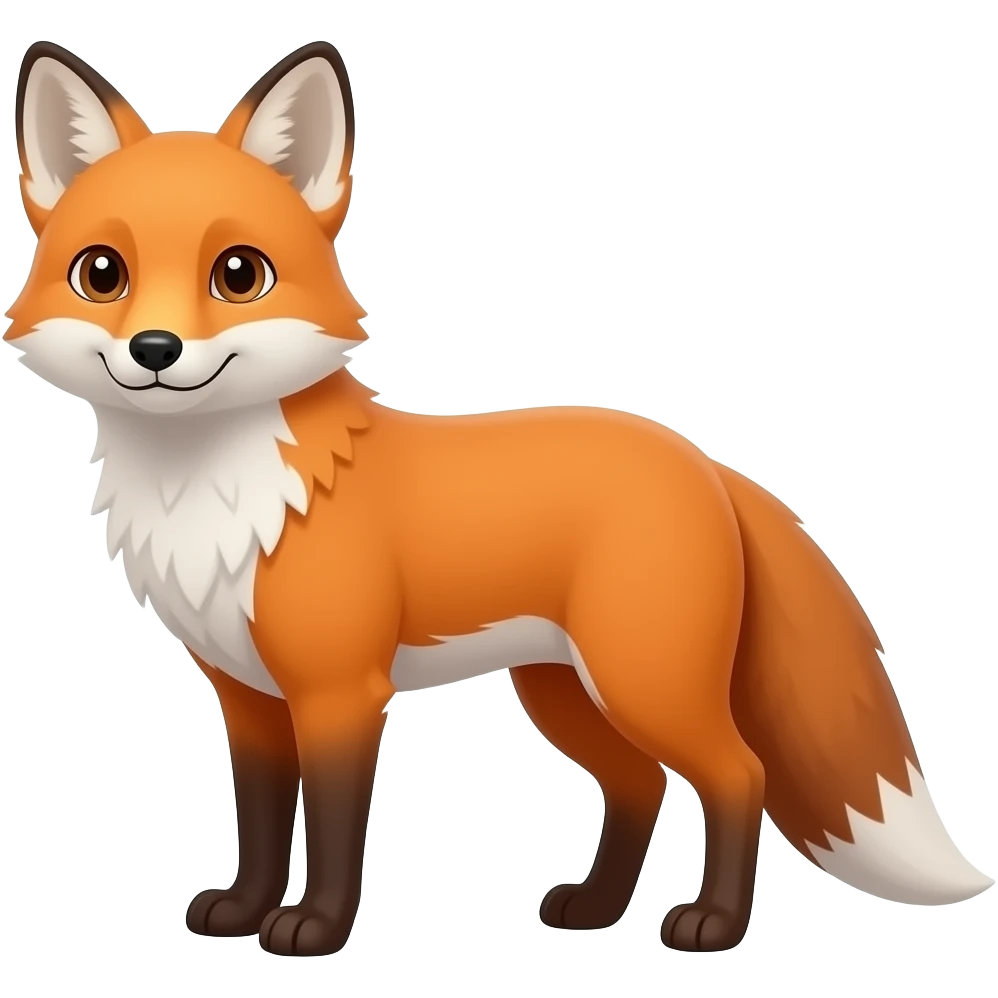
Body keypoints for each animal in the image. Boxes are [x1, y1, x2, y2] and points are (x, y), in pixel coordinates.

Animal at [7, 38, 993, 959]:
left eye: (239, 274)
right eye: (103, 273)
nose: (156, 350)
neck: (217, 491)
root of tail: (701, 459)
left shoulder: (339, 692)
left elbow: (333, 829)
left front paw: (315, 928)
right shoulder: (247, 697)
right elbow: (259, 820)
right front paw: (244, 913)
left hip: (644, 681)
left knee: (736, 775)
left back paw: (711, 922)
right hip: (564, 691)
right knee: (640, 784)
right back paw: (594, 910)